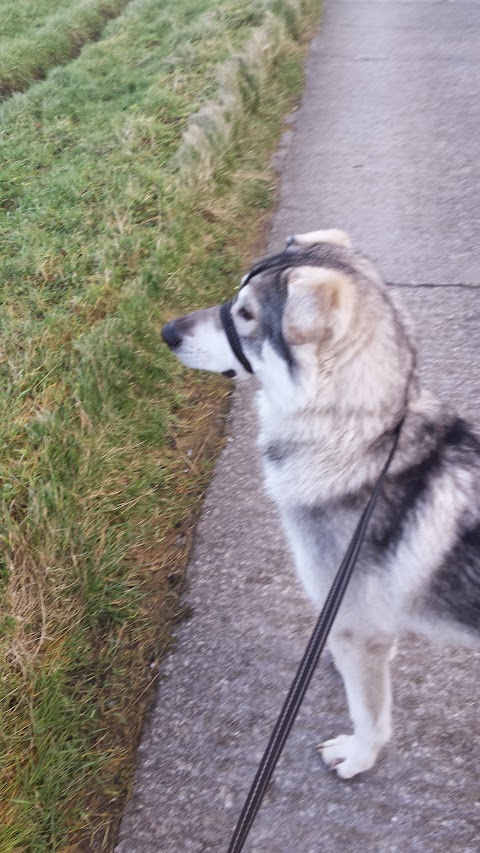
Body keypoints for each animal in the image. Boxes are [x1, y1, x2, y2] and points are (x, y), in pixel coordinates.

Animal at [162, 228, 480, 780]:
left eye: (246, 314)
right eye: (235, 299)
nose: (166, 332)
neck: (367, 439)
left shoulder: (357, 627)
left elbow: (370, 712)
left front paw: (359, 756)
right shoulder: (365, 623)